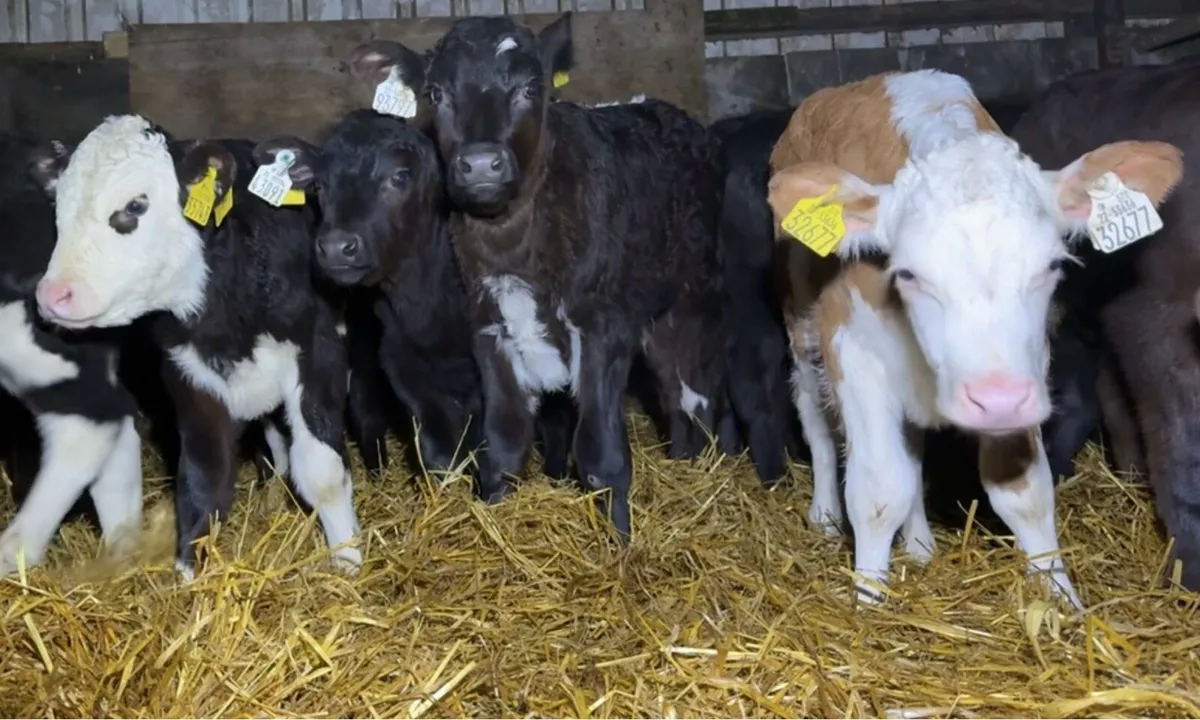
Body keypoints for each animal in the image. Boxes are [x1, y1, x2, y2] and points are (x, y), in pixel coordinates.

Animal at [29, 117, 363, 578]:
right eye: (60, 206)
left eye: (135, 206)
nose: (52, 295)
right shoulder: (189, 374)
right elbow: (205, 477)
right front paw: (189, 576)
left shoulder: (318, 352)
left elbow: (322, 471)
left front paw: (348, 561)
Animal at [346, 13, 729, 540]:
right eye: (437, 93)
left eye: (531, 87)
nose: (481, 164)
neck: (514, 246)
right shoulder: (490, 331)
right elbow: (503, 448)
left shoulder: (603, 327)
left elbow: (600, 455)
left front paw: (621, 544)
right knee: (672, 396)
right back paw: (682, 459)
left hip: (692, 301)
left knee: (696, 395)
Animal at [766, 69, 1183, 607]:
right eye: (908, 273)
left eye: (1051, 266)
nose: (996, 398)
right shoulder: (855, 353)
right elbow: (879, 492)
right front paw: (868, 602)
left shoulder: (1020, 371)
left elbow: (1024, 493)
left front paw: (1061, 599)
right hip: (800, 322)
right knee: (813, 414)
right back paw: (823, 515)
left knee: (913, 447)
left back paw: (920, 543)